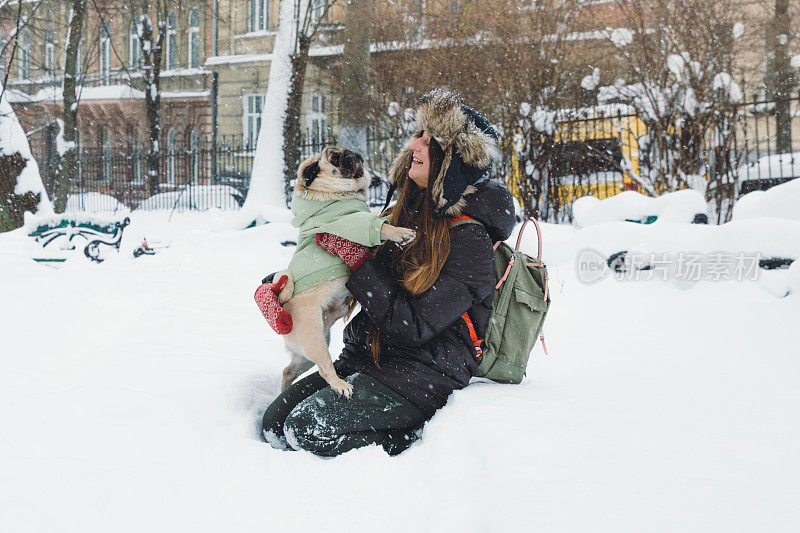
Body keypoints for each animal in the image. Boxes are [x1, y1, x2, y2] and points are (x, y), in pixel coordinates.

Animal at [270, 148, 416, 396]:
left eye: (342, 152)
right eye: (335, 158)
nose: (351, 152)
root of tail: (283, 305)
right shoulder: (350, 224)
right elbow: (380, 227)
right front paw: (400, 233)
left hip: (312, 348)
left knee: (288, 370)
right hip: (316, 341)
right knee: (325, 369)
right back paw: (340, 386)